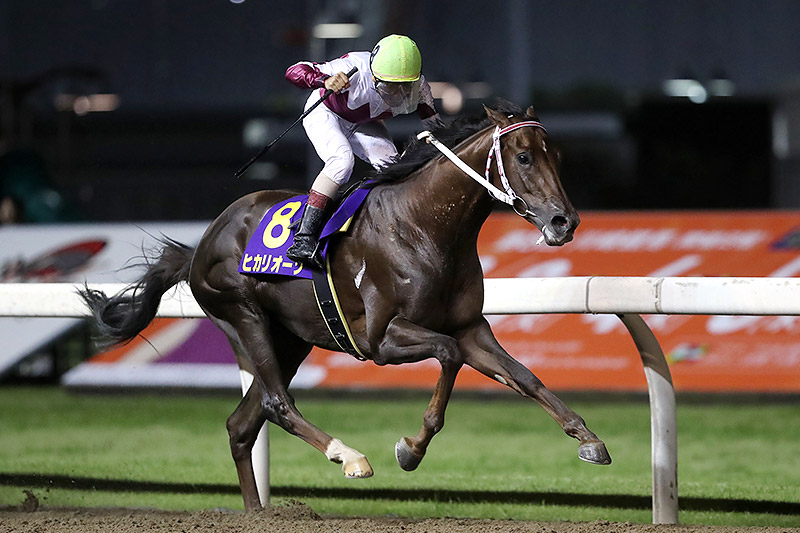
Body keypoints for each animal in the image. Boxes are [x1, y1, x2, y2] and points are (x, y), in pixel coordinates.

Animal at [81, 100, 608, 512]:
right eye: (523, 156)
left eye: (557, 156)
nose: (565, 222)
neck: (423, 226)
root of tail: (201, 245)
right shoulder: (382, 339)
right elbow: (447, 355)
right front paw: (411, 449)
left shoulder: (470, 327)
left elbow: (524, 377)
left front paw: (590, 440)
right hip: (242, 314)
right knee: (276, 402)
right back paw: (349, 456)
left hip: (292, 338)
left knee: (241, 424)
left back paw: (257, 512)